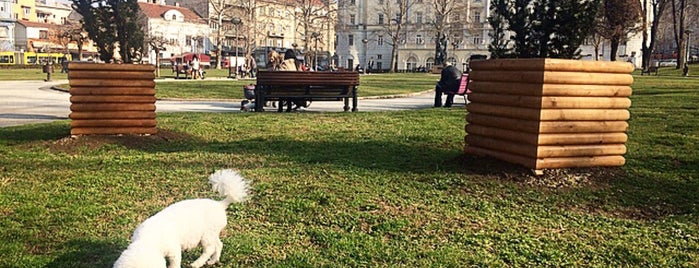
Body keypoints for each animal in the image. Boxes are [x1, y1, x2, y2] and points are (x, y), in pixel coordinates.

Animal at [112, 170, 249, 268]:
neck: (147, 241)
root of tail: (220, 204)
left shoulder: (174, 250)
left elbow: (174, 264)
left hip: (206, 235)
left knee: (209, 249)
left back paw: (197, 263)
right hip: (213, 234)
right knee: (219, 245)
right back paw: (213, 261)